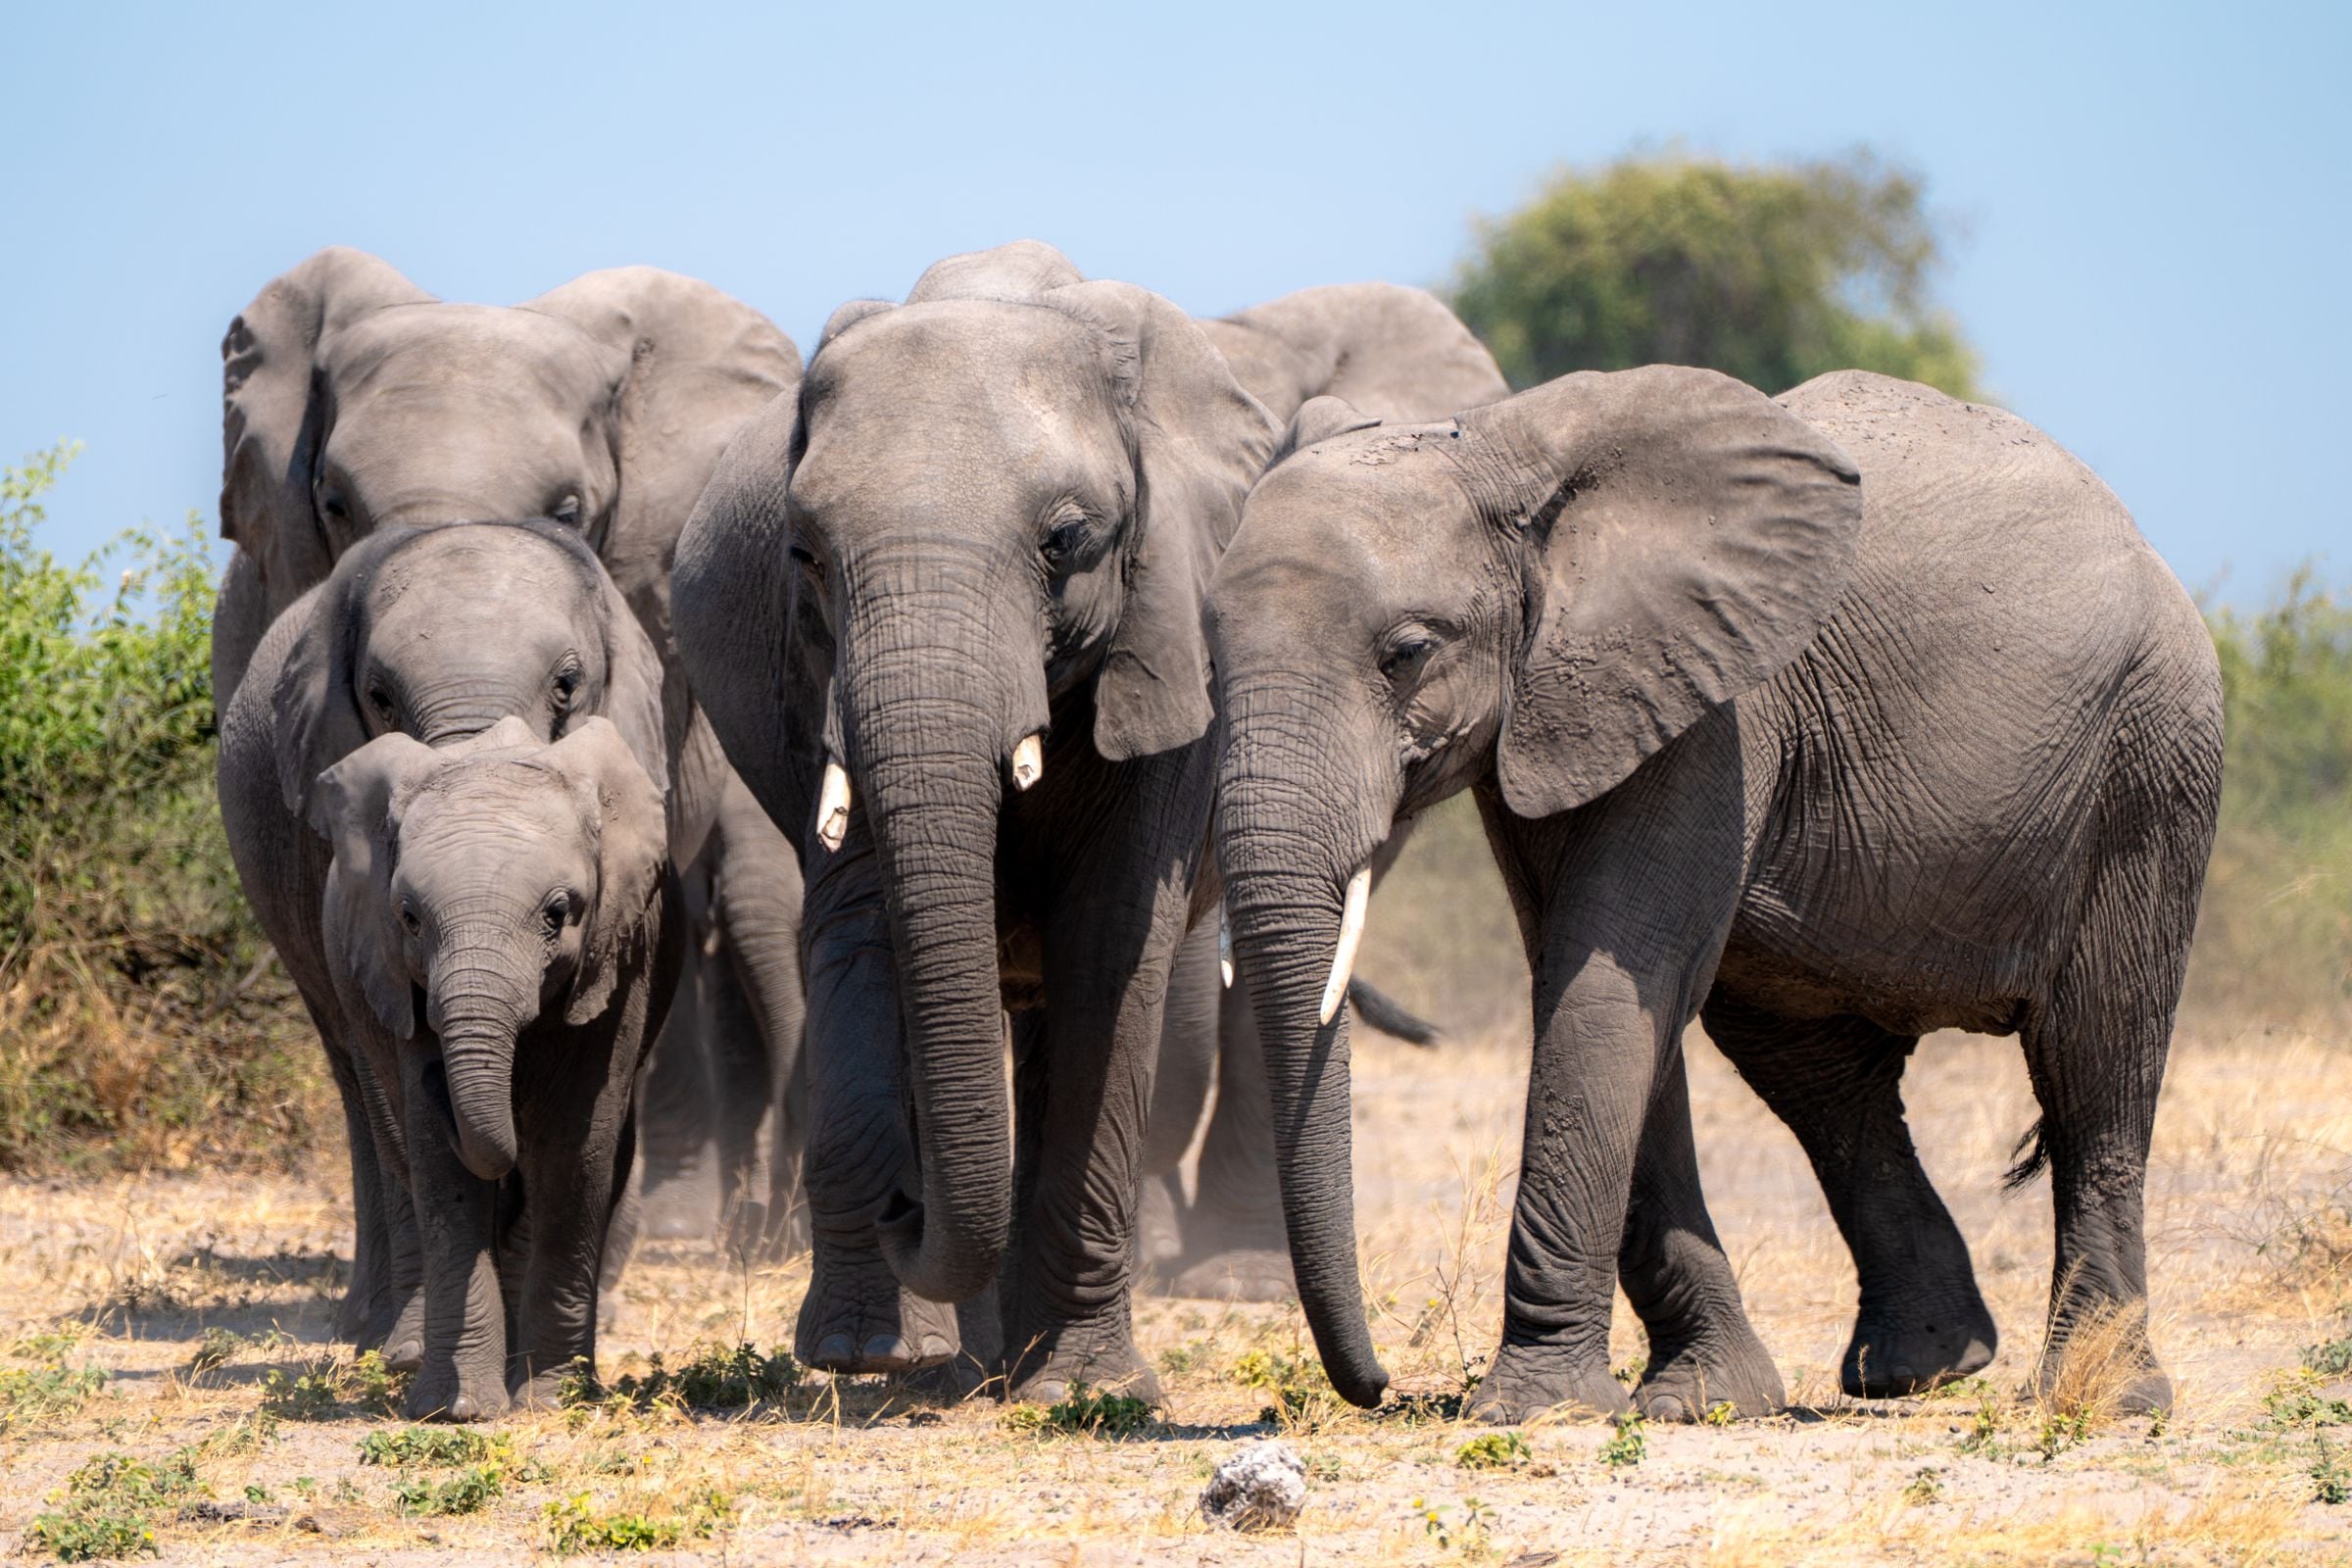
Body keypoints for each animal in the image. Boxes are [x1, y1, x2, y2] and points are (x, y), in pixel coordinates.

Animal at [307, 716, 674, 1419]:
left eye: (558, 913)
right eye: (409, 918)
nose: (438, 1081)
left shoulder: (620, 959)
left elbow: (574, 1148)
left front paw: (552, 1404)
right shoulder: (397, 978)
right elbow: (440, 1167)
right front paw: (457, 1410)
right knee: (399, 1147)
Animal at [674, 241, 1508, 1397]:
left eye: (1066, 539)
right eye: (802, 553)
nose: (904, 1212)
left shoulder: (1171, 628)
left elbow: (1111, 947)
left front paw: (1082, 1386)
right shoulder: (812, 681)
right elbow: (865, 926)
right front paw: (867, 1355)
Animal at [1204, 368, 2223, 1424]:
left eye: (1405, 652)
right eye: (1209, 648)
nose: (1378, 1388)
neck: (1498, 449)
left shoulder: (1718, 711)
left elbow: (1608, 985)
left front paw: (1539, 1408)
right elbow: (1600, 986)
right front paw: (1703, 1398)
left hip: (2152, 759)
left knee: (2096, 1058)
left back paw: (2104, 1397)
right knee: (1820, 1077)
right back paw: (1923, 1366)